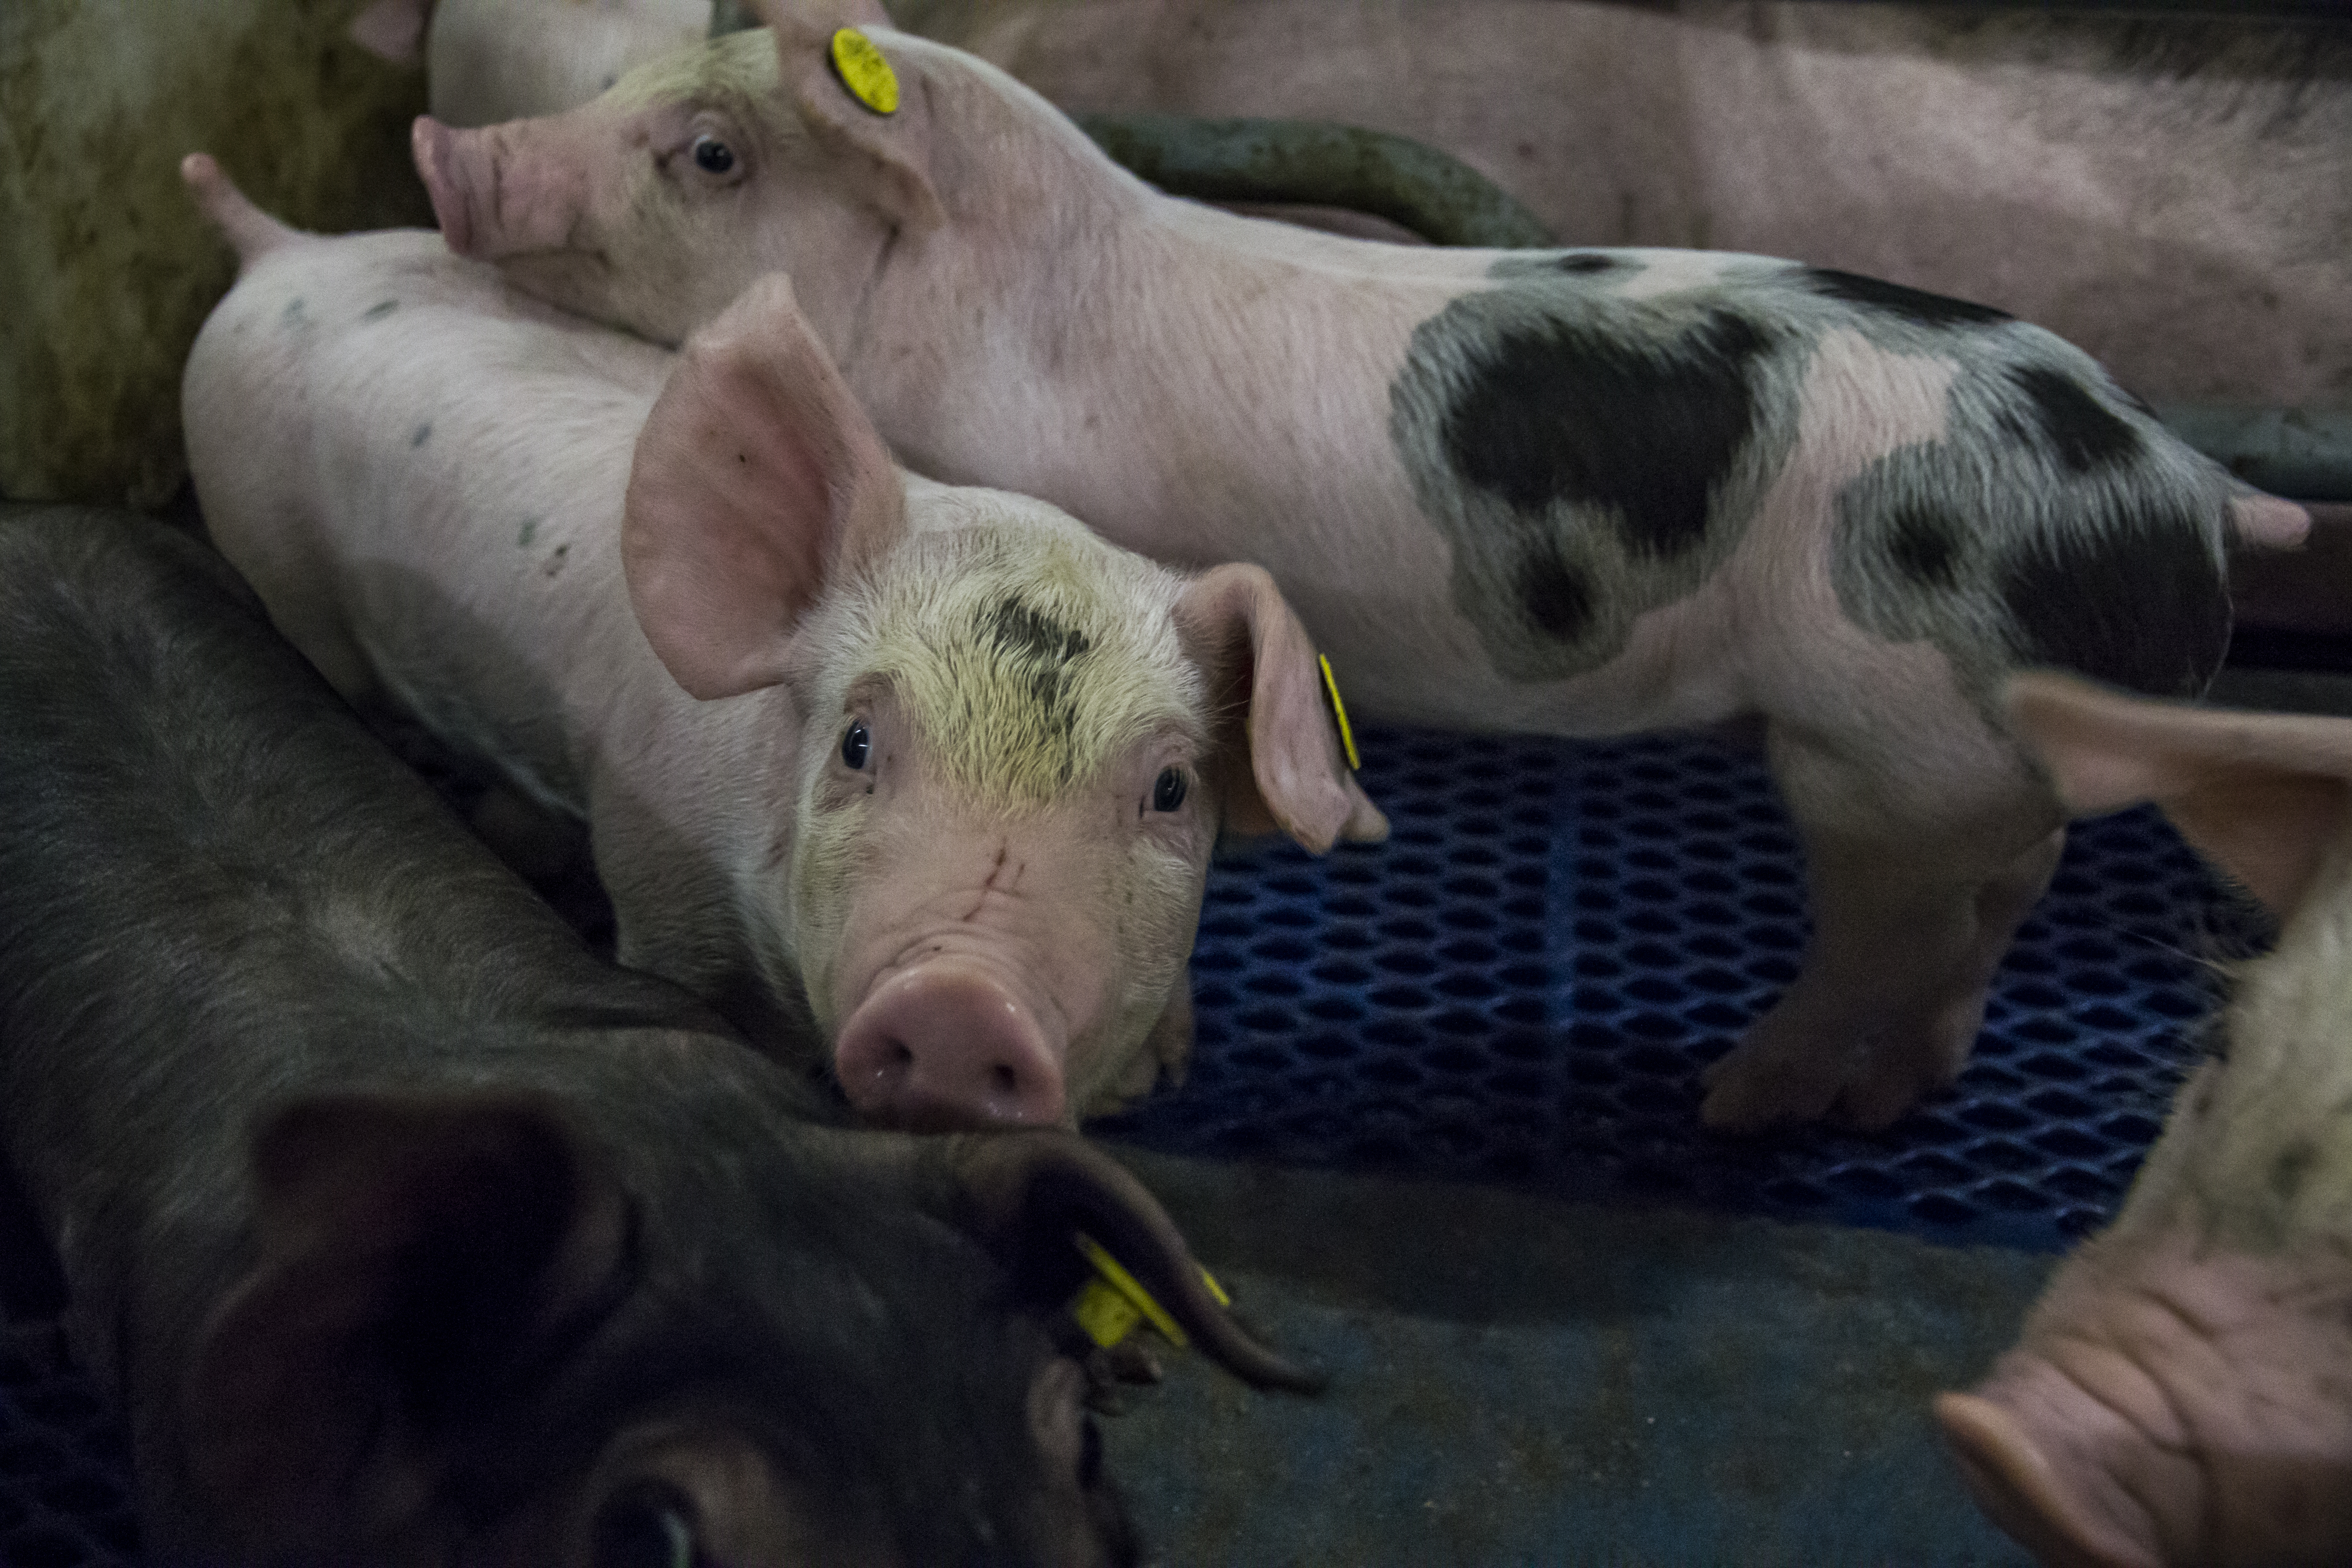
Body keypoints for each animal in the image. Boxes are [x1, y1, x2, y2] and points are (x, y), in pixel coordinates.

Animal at [183, 160, 1374, 1133]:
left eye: (1171, 789)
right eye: (857, 743)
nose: (962, 999)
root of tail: (277, 249)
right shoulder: (654, 866)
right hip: (269, 555)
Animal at [409, 0, 2314, 1133]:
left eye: (708, 154)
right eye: (628, 85)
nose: (445, 155)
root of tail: (2190, 485)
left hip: (1881, 748)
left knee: (1895, 931)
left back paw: (1732, 1102)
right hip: (1967, 767)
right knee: (1993, 908)